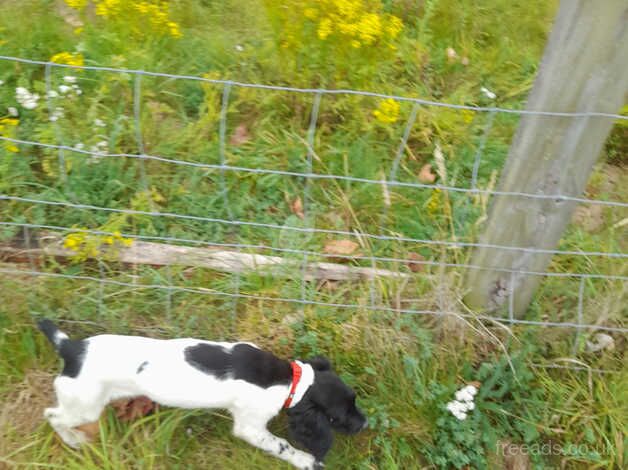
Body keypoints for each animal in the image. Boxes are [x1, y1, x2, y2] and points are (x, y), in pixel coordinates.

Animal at [36, 318, 366, 468]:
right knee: (52, 415)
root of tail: (71, 348)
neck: (288, 380)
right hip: (84, 404)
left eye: (355, 400)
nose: (364, 424)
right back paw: (74, 440)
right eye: (338, 416)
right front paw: (306, 460)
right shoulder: (250, 426)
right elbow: (281, 444)